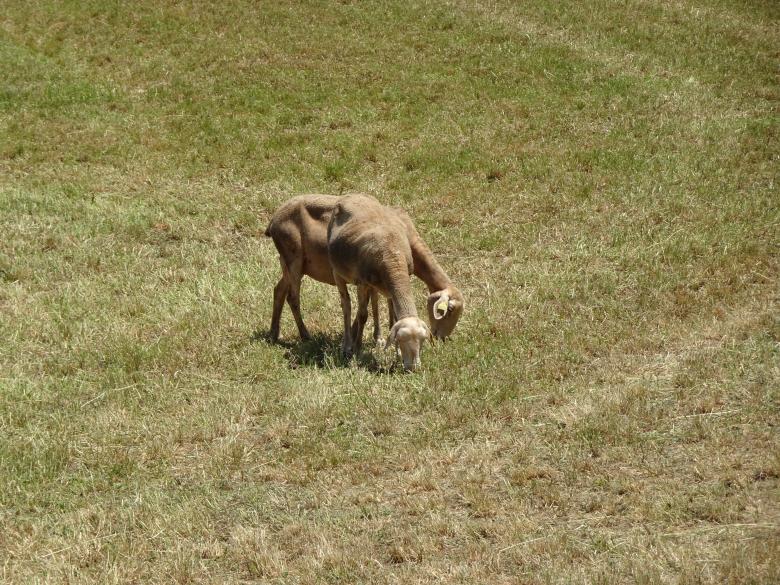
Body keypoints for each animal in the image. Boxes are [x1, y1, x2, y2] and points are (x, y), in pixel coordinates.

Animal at [264, 194, 464, 345]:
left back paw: (273, 333)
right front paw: (359, 337)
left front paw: (379, 336)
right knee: (293, 297)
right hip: (294, 261)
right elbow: (374, 304)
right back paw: (305, 335)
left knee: (279, 290)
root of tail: (273, 220)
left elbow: (378, 302)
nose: (441, 338)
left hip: (289, 264)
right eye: (449, 310)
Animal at [327, 194, 431, 371]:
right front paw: (357, 350)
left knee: (374, 300)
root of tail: (352, 194)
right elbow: (363, 315)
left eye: (423, 340)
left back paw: (377, 337)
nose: (413, 368)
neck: (393, 257)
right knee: (346, 305)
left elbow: (393, 316)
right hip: (337, 272)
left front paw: (396, 353)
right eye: (401, 340)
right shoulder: (362, 282)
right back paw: (347, 346)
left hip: (375, 285)